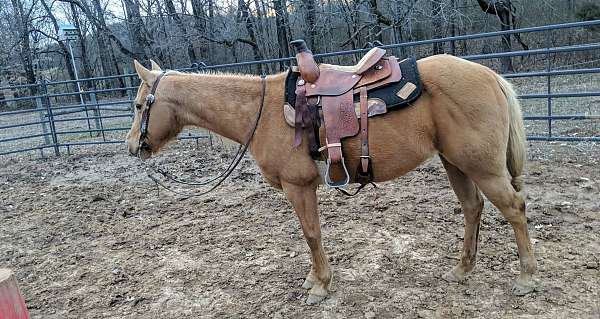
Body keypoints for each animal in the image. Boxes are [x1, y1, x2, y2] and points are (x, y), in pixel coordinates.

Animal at [126, 57, 540, 304]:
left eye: (138, 104)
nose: (132, 147)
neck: (263, 111)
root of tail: (491, 76)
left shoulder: (299, 186)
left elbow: (311, 234)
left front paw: (321, 286)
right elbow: (309, 235)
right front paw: (314, 280)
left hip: (483, 168)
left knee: (515, 209)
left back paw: (526, 278)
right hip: (455, 164)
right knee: (472, 208)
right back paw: (462, 270)